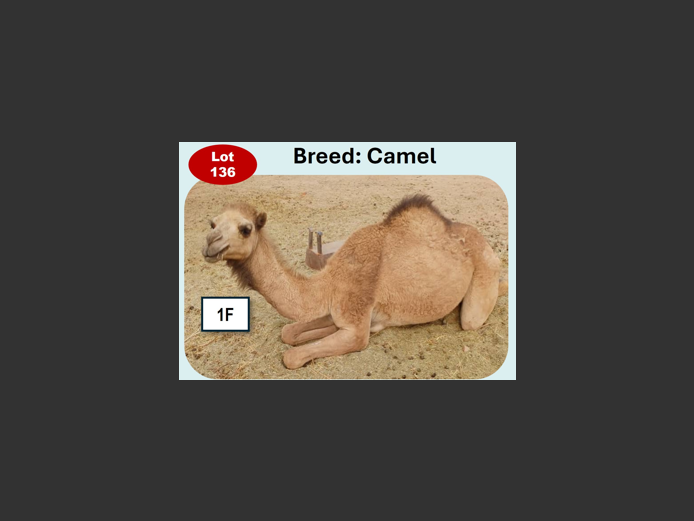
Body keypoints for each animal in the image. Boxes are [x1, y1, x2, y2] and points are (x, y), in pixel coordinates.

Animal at [201, 195, 507, 369]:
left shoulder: (356, 326)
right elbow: (289, 333)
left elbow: (292, 357)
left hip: (483, 273)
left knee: (473, 315)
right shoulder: (339, 308)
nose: (210, 245)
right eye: (212, 223)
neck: (329, 282)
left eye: (246, 229)